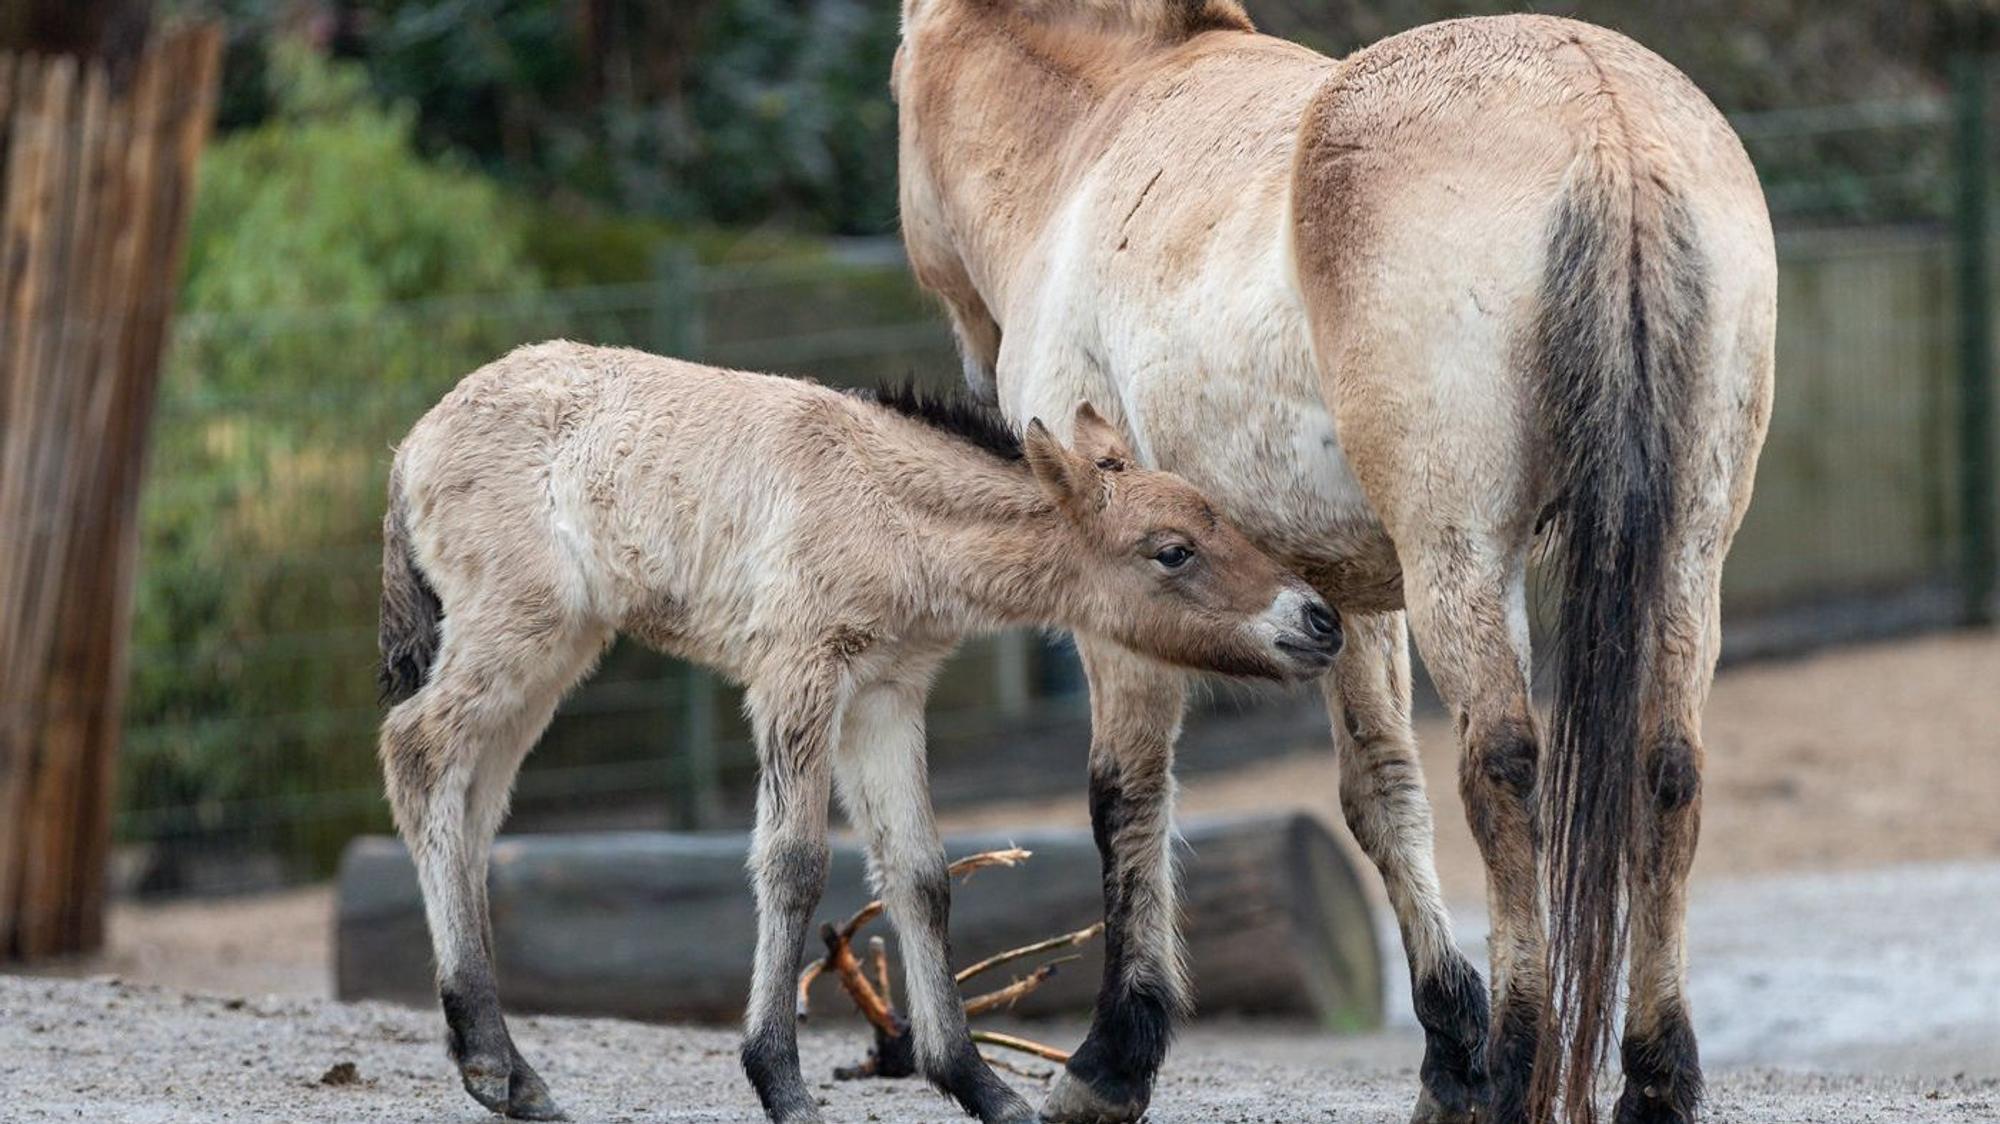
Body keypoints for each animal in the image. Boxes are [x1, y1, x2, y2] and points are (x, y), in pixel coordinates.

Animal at [374, 340, 1343, 1122]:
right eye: (1172, 549)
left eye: (1222, 516)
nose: (1321, 621)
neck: (885, 502)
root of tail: (411, 444)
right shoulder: (797, 672)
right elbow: (796, 863)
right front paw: (781, 1084)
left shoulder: (886, 694)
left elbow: (922, 874)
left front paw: (980, 1086)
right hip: (517, 627)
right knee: (418, 752)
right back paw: (491, 1064)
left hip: (559, 646)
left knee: (473, 799)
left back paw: (506, 1070)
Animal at [894, 4, 1775, 1123]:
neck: (1102, 131)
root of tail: (1604, 118)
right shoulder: (1345, 595)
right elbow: (1380, 794)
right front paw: (1446, 1056)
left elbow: (1125, 796)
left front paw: (1111, 1060)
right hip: (1682, 559)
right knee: (1667, 770)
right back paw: (1651, 1079)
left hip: (1462, 563)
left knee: (1505, 769)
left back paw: (1518, 1063)